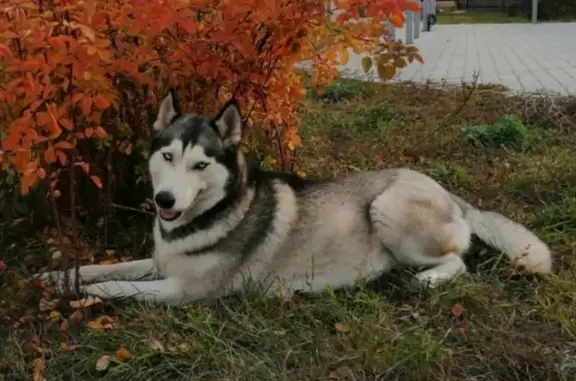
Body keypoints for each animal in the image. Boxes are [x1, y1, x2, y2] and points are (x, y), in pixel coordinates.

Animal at [36, 90, 552, 304]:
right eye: (167, 156)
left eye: (200, 165)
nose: (164, 201)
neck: (212, 217)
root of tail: (448, 192)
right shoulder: (160, 261)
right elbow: (108, 267)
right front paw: (58, 276)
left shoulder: (186, 291)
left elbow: (116, 286)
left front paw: (79, 295)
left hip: (386, 207)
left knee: (458, 260)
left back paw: (427, 280)